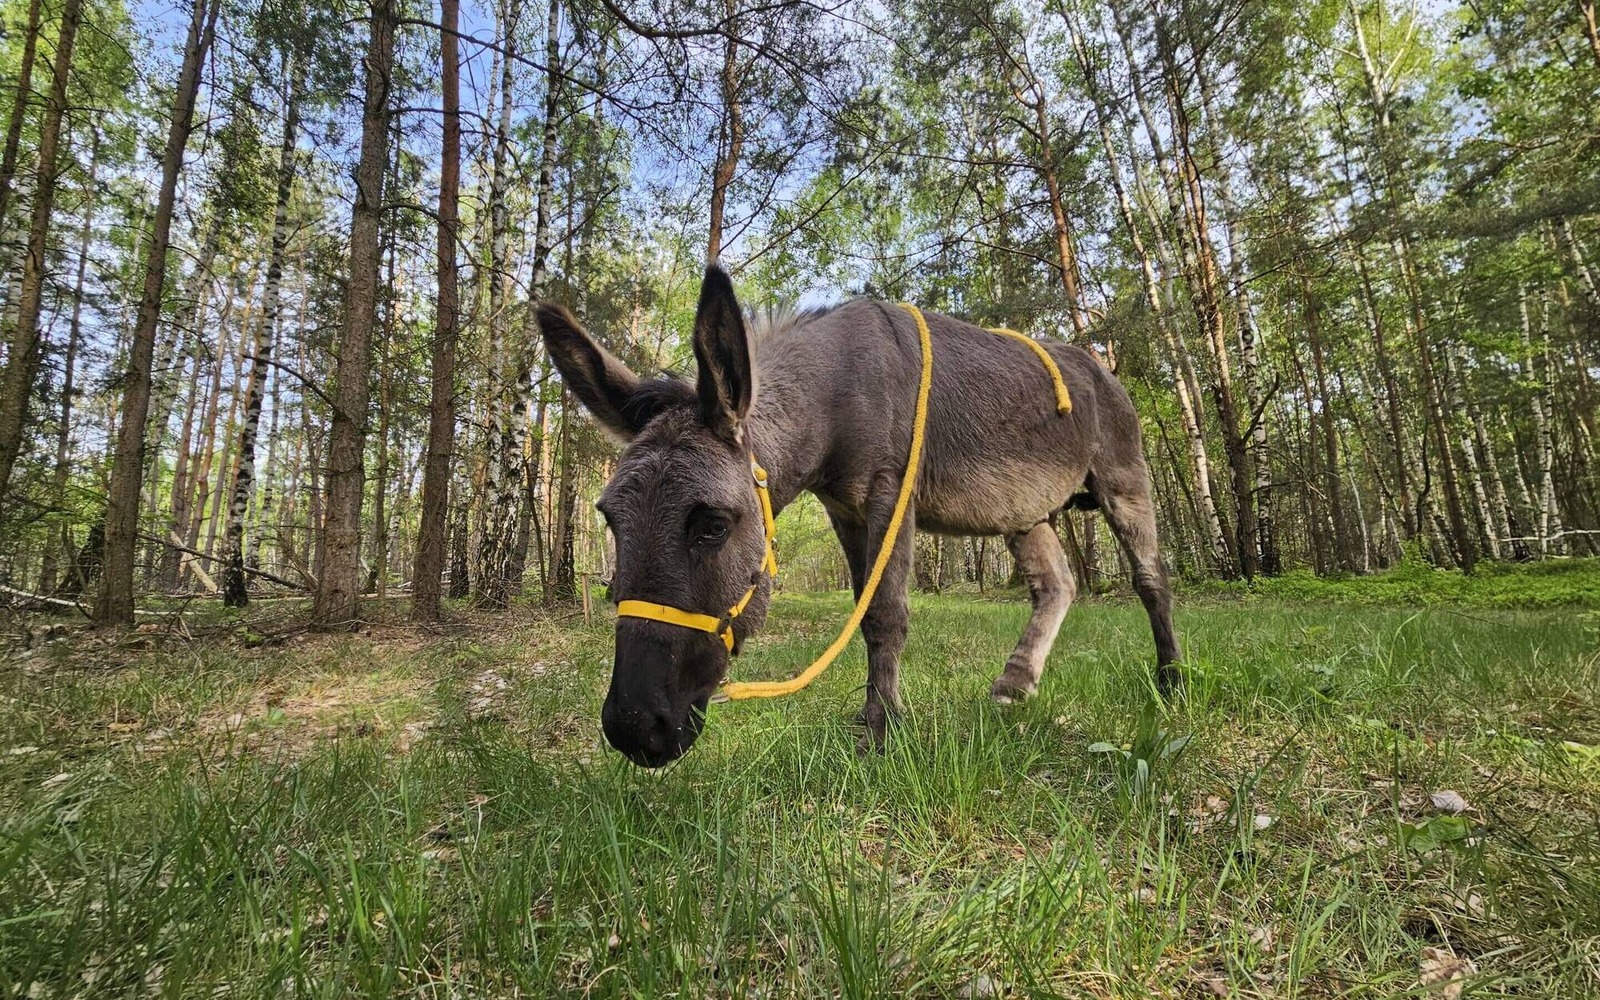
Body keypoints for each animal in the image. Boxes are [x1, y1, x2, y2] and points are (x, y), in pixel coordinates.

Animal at [536, 265, 1180, 767]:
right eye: (610, 519)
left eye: (712, 526)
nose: (632, 729)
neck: (835, 396)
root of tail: (1102, 368)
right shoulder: (844, 510)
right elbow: (864, 608)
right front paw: (877, 717)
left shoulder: (891, 495)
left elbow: (885, 614)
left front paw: (882, 730)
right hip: (1021, 511)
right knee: (1057, 585)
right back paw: (1014, 686)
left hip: (1123, 478)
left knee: (1151, 578)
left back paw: (1171, 683)